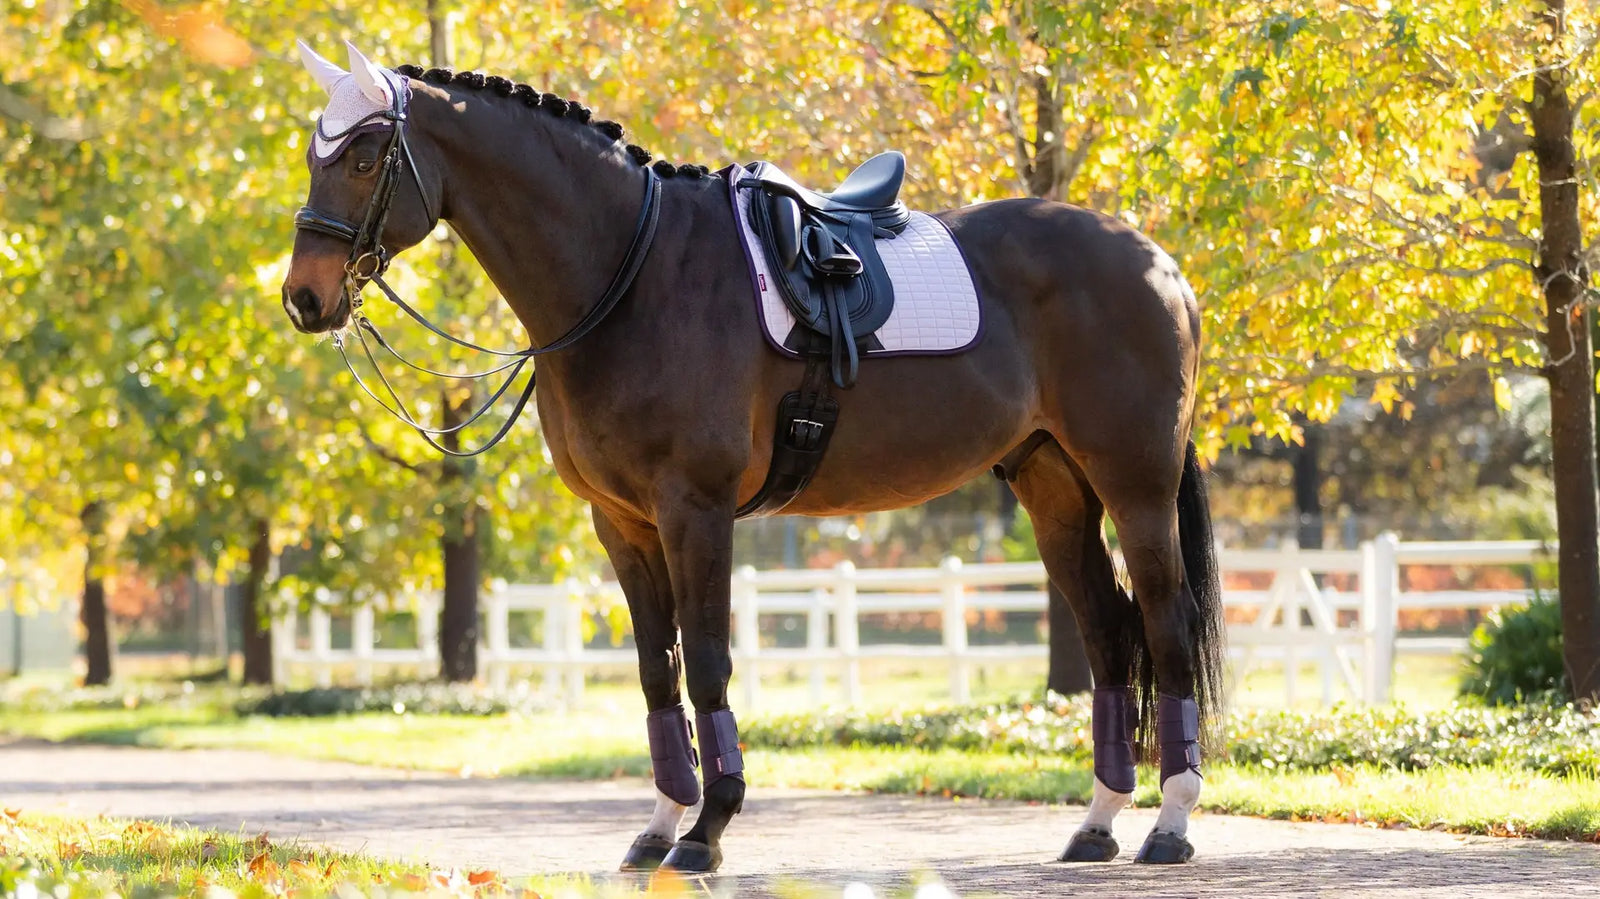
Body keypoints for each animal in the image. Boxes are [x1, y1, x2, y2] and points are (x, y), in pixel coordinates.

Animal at [281, 41, 1227, 874]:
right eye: (314, 153)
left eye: (362, 157)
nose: (304, 298)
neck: (631, 274)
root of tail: (1158, 263)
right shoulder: (620, 523)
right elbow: (656, 672)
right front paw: (659, 828)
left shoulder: (694, 511)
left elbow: (705, 662)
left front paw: (708, 829)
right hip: (1053, 485)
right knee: (1108, 633)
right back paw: (1098, 822)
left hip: (1135, 485)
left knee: (1166, 623)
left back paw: (1171, 823)